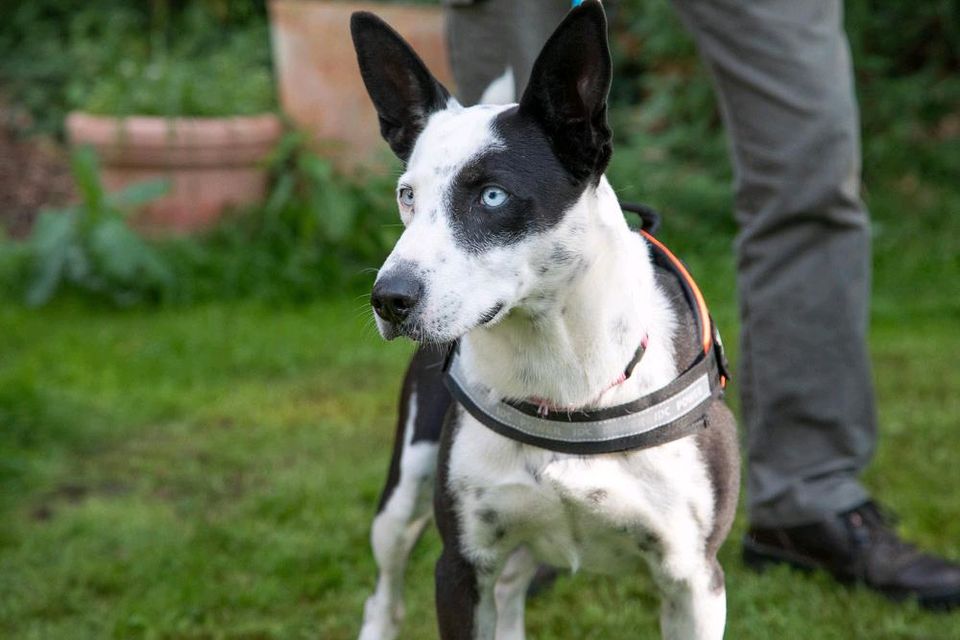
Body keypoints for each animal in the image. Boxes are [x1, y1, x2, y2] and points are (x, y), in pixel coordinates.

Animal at [350, 2, 736, 636]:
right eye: (407, 195)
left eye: (493, 197)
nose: (389, 299)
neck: (561, 375)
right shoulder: (460, 567)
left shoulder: (695, 582)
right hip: (403, 492)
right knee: (385, 591)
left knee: (510, 590)